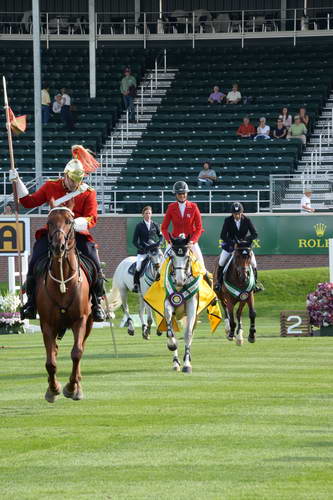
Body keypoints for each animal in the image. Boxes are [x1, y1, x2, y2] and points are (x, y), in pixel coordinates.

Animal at [36, 207, 92, 402]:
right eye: (49, 222)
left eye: (69, 221)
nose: (57, 247)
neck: (63, 280)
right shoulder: (47, 324)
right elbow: (50, 362)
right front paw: (53, 389)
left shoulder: (80, 320)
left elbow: (77, 353)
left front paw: (72, 387)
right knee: (54, 351)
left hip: (89, 323)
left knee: (81, 348)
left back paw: (78, 383)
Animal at [163, 236, 198, 374]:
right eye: (172, 256)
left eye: (187, 257)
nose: (179, 280)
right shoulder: (168, 302)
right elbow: (170, 330)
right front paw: (172, 344)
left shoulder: (192, 306)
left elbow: (188, 334)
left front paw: (187, 364)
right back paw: (175, 363)